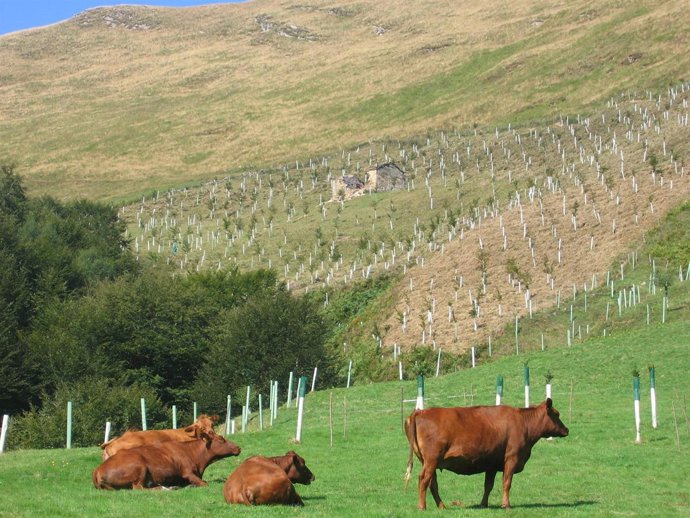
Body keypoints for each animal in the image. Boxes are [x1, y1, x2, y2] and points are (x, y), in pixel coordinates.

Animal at [92, 432, 241, 490]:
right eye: (221, 439)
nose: (238, 447)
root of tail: (98, 470)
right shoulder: (187, 472)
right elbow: (205, 483)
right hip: (139, 466)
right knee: (139, 488)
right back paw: (165, 488)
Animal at [404, 398, 569, 510]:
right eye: (556, 414)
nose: (567, 430)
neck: (523, 422)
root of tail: (420, 411)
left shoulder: (492, 464)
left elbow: (488, 486)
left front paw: (483, 504)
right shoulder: (512, 458)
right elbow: (507, 483)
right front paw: (506, 505)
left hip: (428, 461)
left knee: (432, 483)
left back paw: (441, 506)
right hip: (431, 459)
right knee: (423, 480)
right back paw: (422, 506)